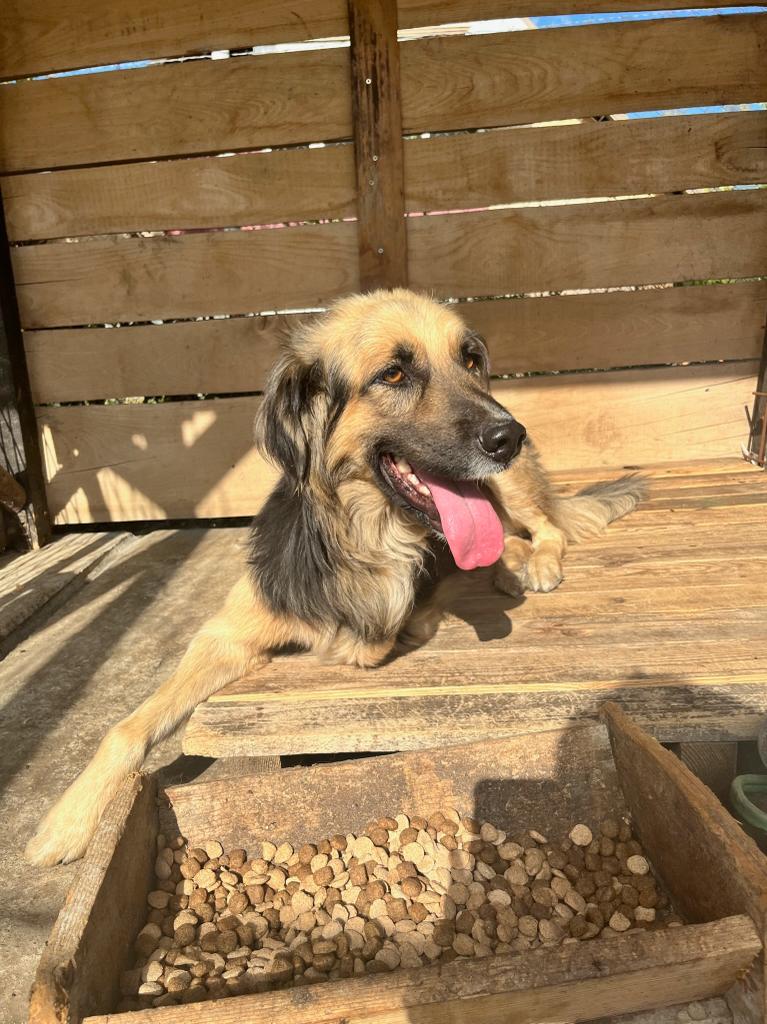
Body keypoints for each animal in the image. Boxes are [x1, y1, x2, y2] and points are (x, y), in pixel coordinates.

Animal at [26, 289, 645, 866]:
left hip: (510, 487)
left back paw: (532, 566)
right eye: (393, 374)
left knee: (547, 526)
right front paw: (65, 824)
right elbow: (128, 727)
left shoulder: (374, 631)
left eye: (470, 360)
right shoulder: (226, 634)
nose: (509, 436)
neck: (356, 528)